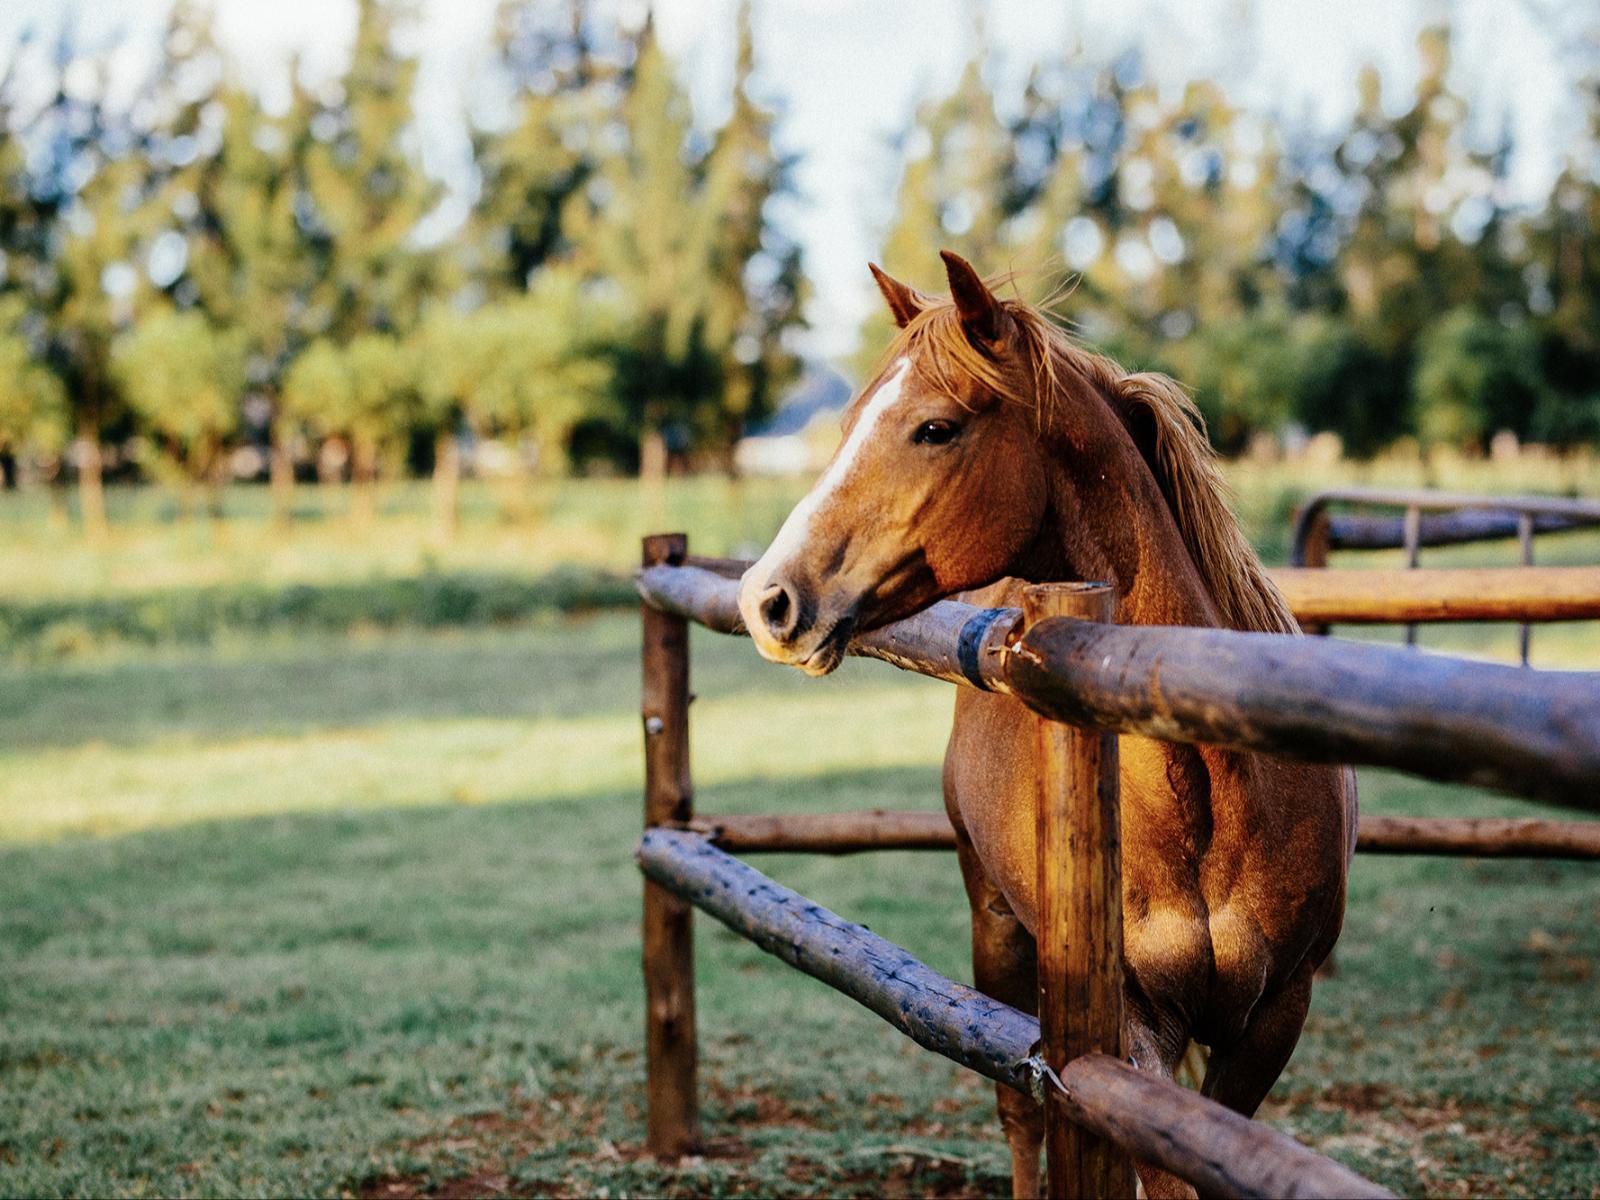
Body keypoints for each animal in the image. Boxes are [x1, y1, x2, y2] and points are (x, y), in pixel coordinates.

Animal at [732, 249, 1350, 1196]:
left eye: (935, 428)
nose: (768, 599)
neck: (1213, 793)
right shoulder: (1133, 1026)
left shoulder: (1277, 1012)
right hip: (997, 926)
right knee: (1021, 1111)